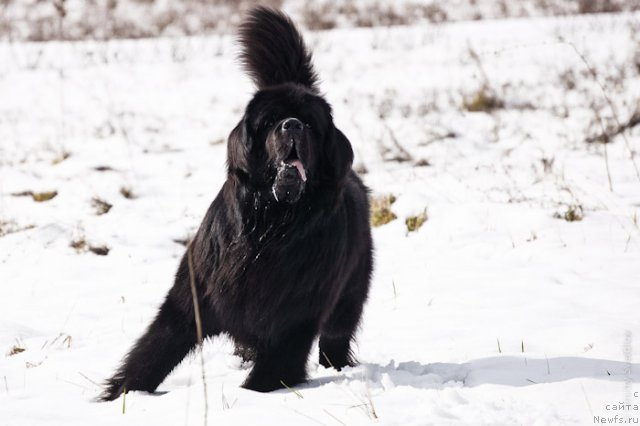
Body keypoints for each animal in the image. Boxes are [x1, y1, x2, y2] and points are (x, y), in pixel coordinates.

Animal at [97, 5, 372, 402]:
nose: (292, 125)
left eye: (309, 124)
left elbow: (271, 371)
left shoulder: (295, 319)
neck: (270, 231)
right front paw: (117, 397)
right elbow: (150, 354)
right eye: (272, 121)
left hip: (347, 298)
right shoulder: (192, 299)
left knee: (335, 336)